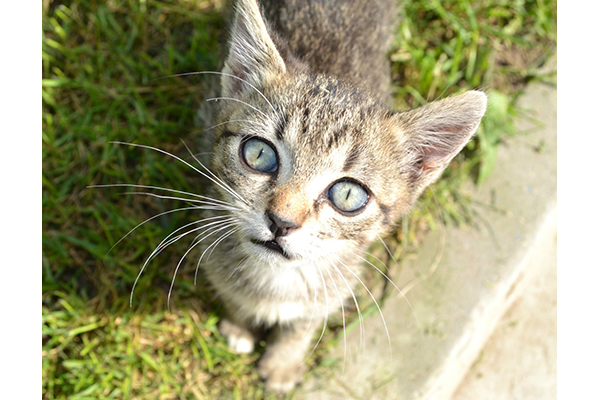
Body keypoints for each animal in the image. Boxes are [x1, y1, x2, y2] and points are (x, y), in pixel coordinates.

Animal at [198, 0, 488, 394]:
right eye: (258, 154)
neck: (278, 280)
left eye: (347, 194)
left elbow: (305, 323)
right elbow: (231, 292)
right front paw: (240, 324)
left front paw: (283, 363)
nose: (281, 221)